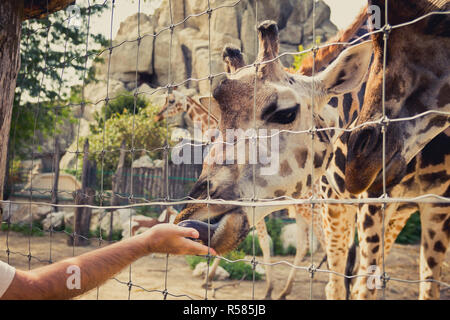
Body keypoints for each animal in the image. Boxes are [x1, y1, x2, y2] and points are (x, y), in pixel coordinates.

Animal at [155, 85, 324, 300]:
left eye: (170, 100)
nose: (157, 116)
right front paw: (208, 278)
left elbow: (262, 242)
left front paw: (268, 289)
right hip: (301, 211)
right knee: (306, 244)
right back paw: (287, 290)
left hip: (311, 209)